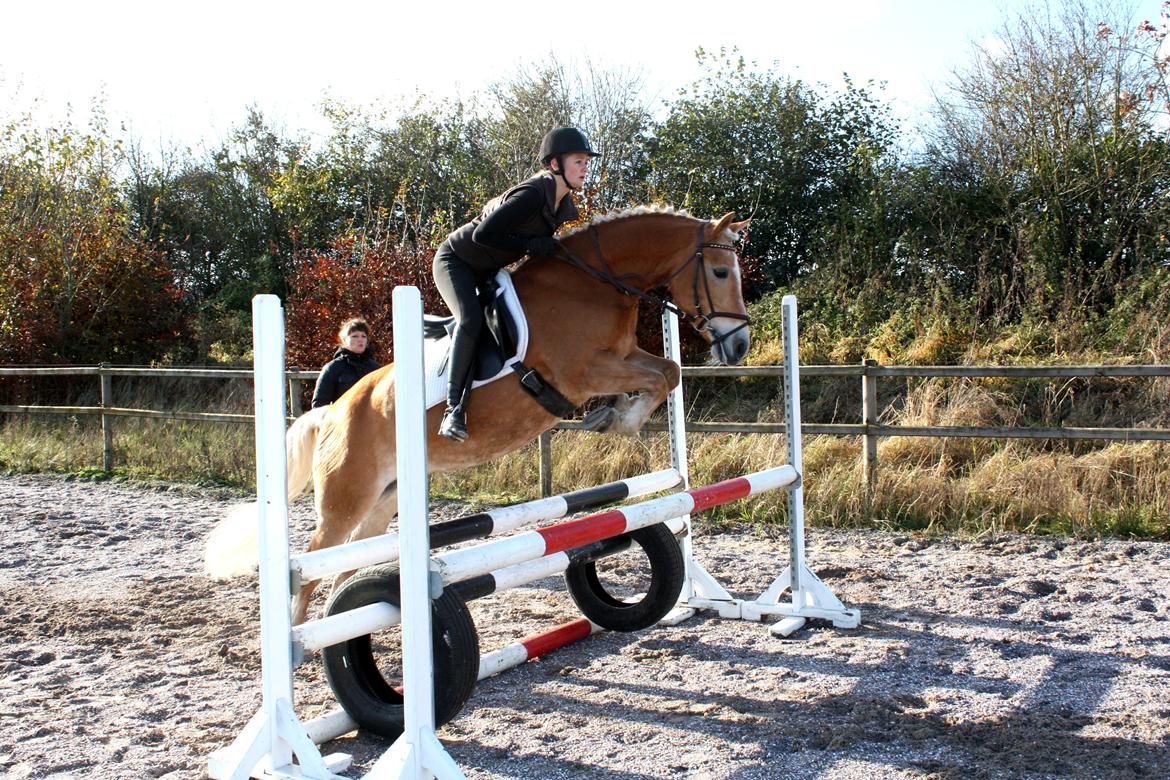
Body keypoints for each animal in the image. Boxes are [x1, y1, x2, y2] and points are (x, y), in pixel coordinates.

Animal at [205, 205, 753, 622]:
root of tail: (334, 411)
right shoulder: (583, 372)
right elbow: (661, 376)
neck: (595, 284)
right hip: (347, 497)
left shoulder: (622, 357)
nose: (740, 345)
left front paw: (615, 418)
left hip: (384, 499)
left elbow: (667, 371)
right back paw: (305, 648)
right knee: (314, 561)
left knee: (349, 563)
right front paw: (617, 419)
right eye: (720, 272)